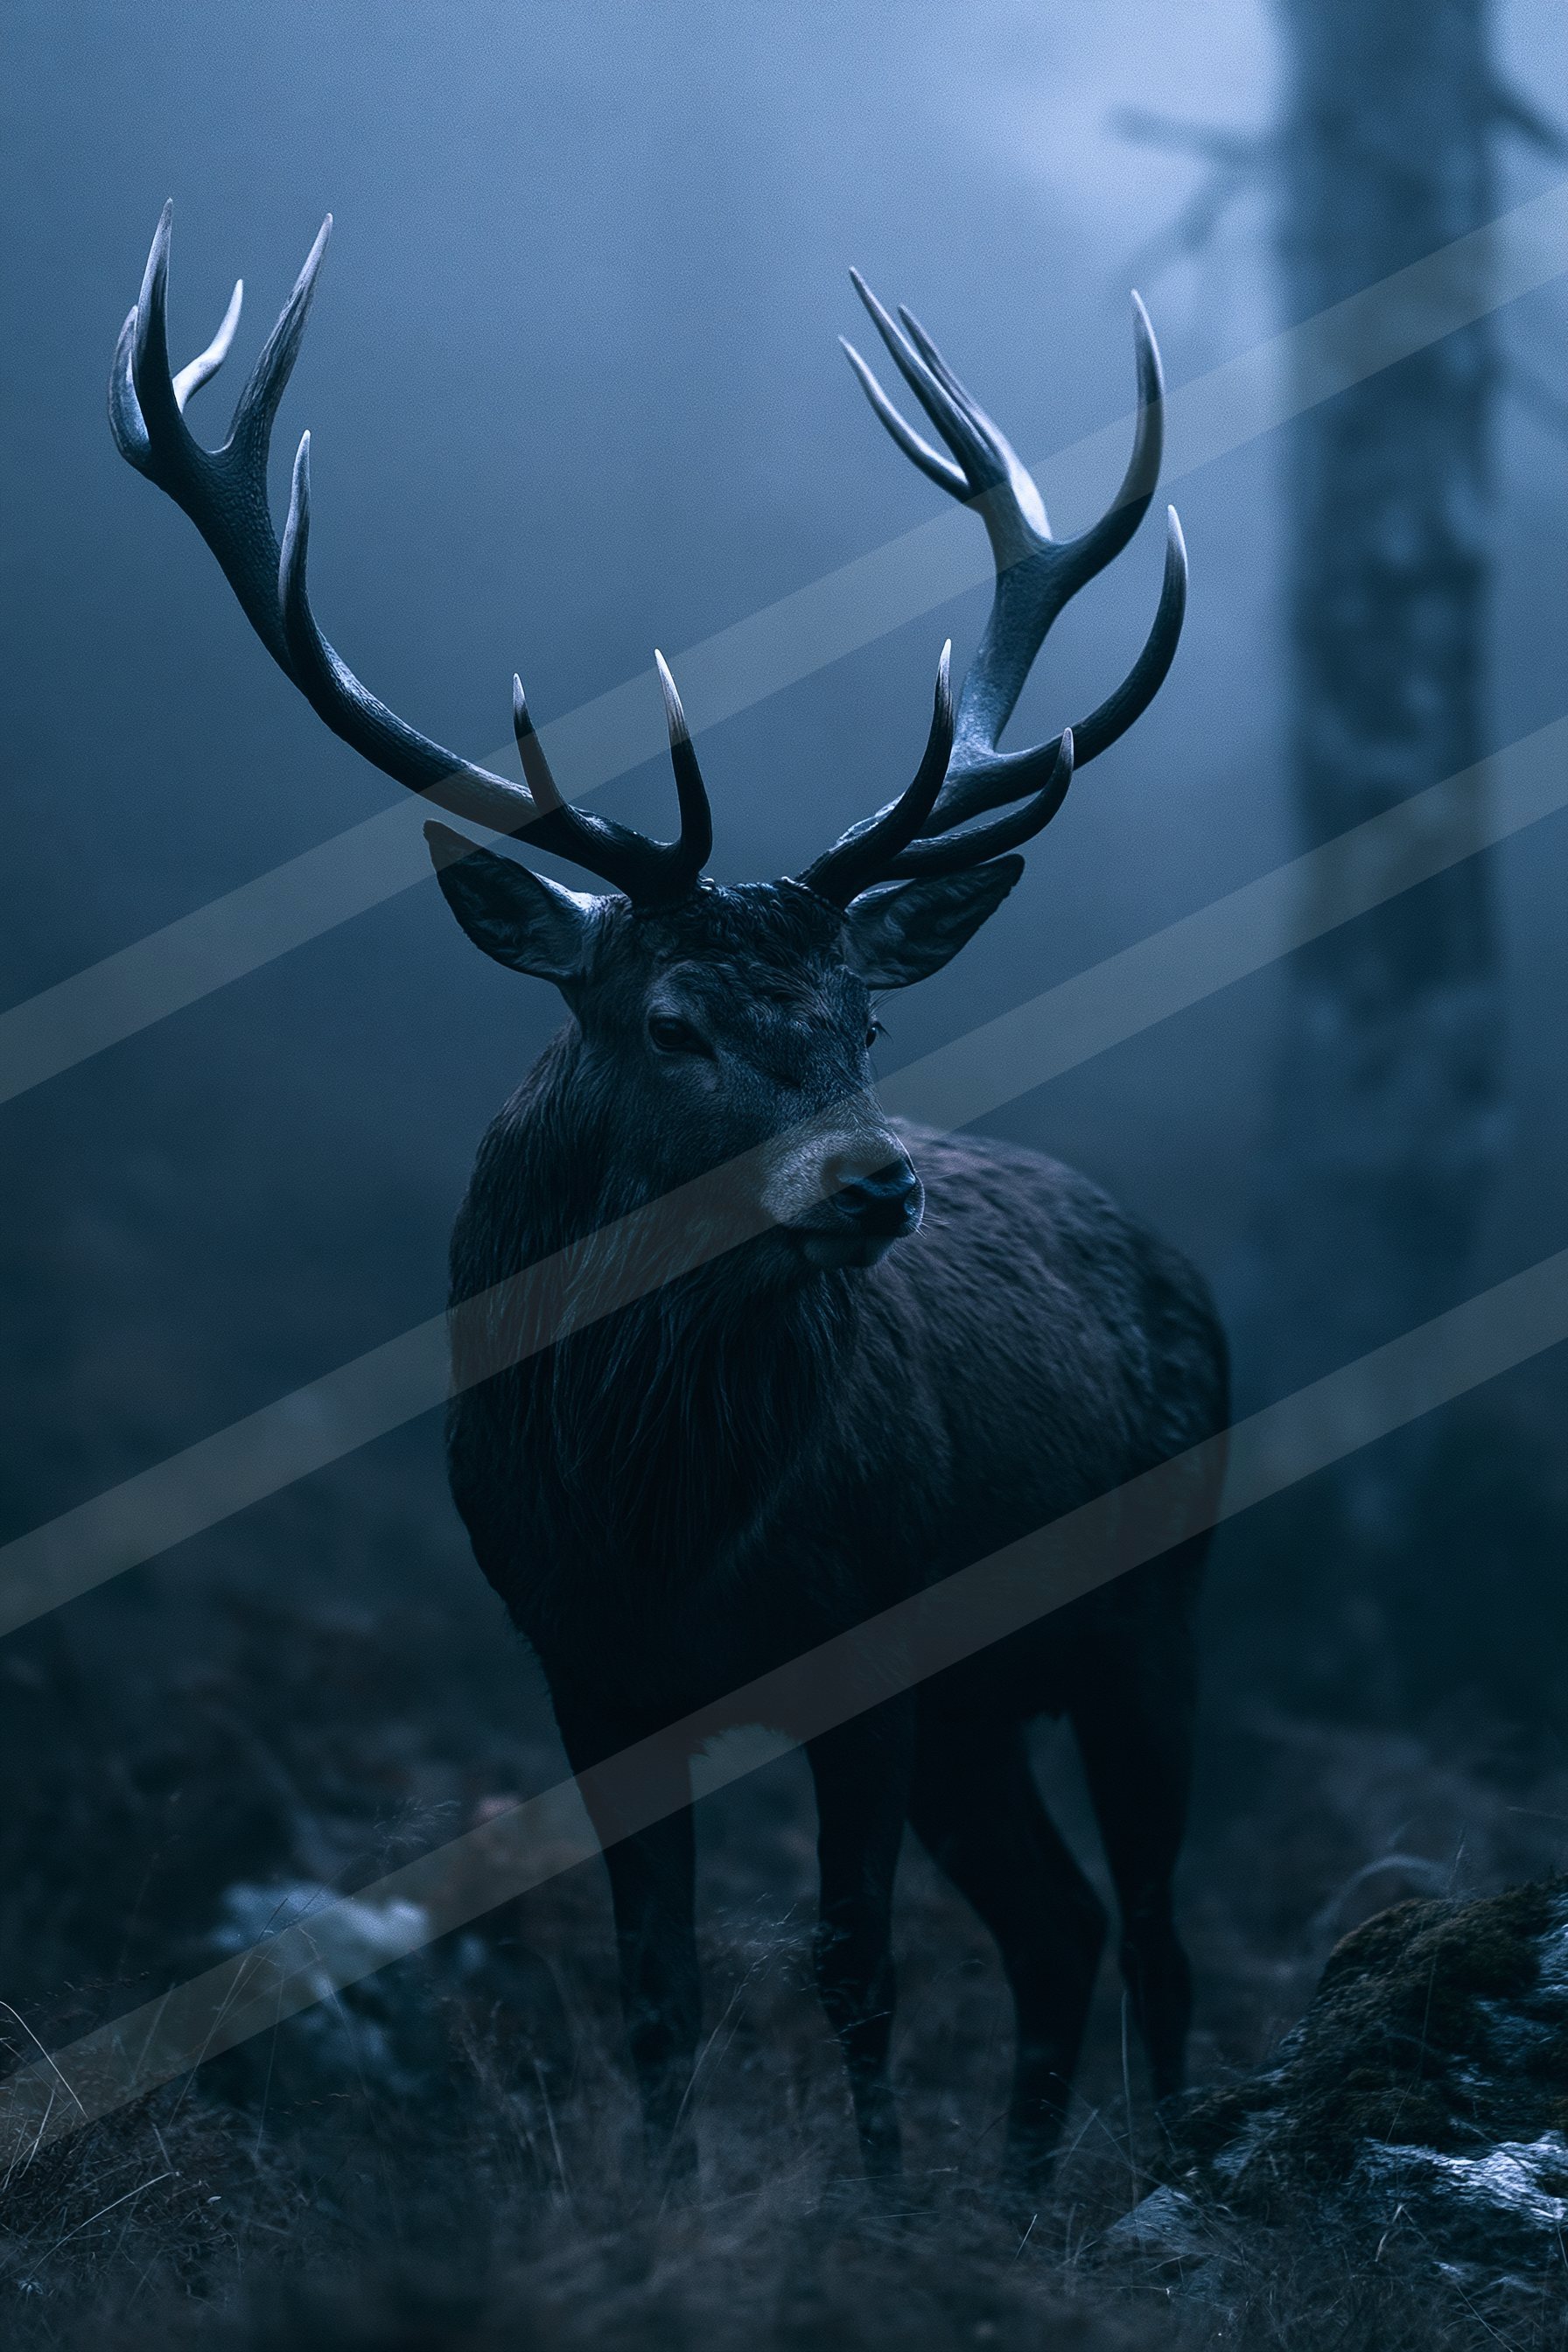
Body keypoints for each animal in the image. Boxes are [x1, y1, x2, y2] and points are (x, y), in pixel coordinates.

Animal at [110, 205, 1229, 2192]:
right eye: (671, 1018)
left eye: (864, 1018)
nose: (880, 1182)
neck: (666, 1529)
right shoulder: (582, 1664)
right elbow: (657, 1982)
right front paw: (662, 2208)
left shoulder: (870, 1639)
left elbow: (853, 1963)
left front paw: (875, 2214)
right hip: (988, 1698)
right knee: (1060, 1921)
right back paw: (1027, 2199)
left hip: (1147, 1604)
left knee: (1154, 1931)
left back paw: (1138, 2181)